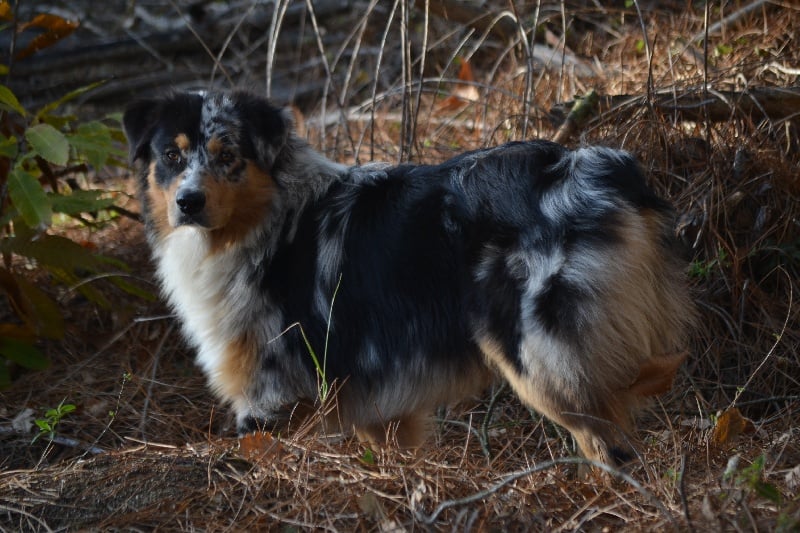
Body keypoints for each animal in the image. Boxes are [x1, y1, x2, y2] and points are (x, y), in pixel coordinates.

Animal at [123, 90, 693, 465]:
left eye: (228, 156)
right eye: (171, 155)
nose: (188, 202)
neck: (267, 225)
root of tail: (586, 167)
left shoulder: (268, 397)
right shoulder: (380, 404)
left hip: (540, 359)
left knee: (611, 442)